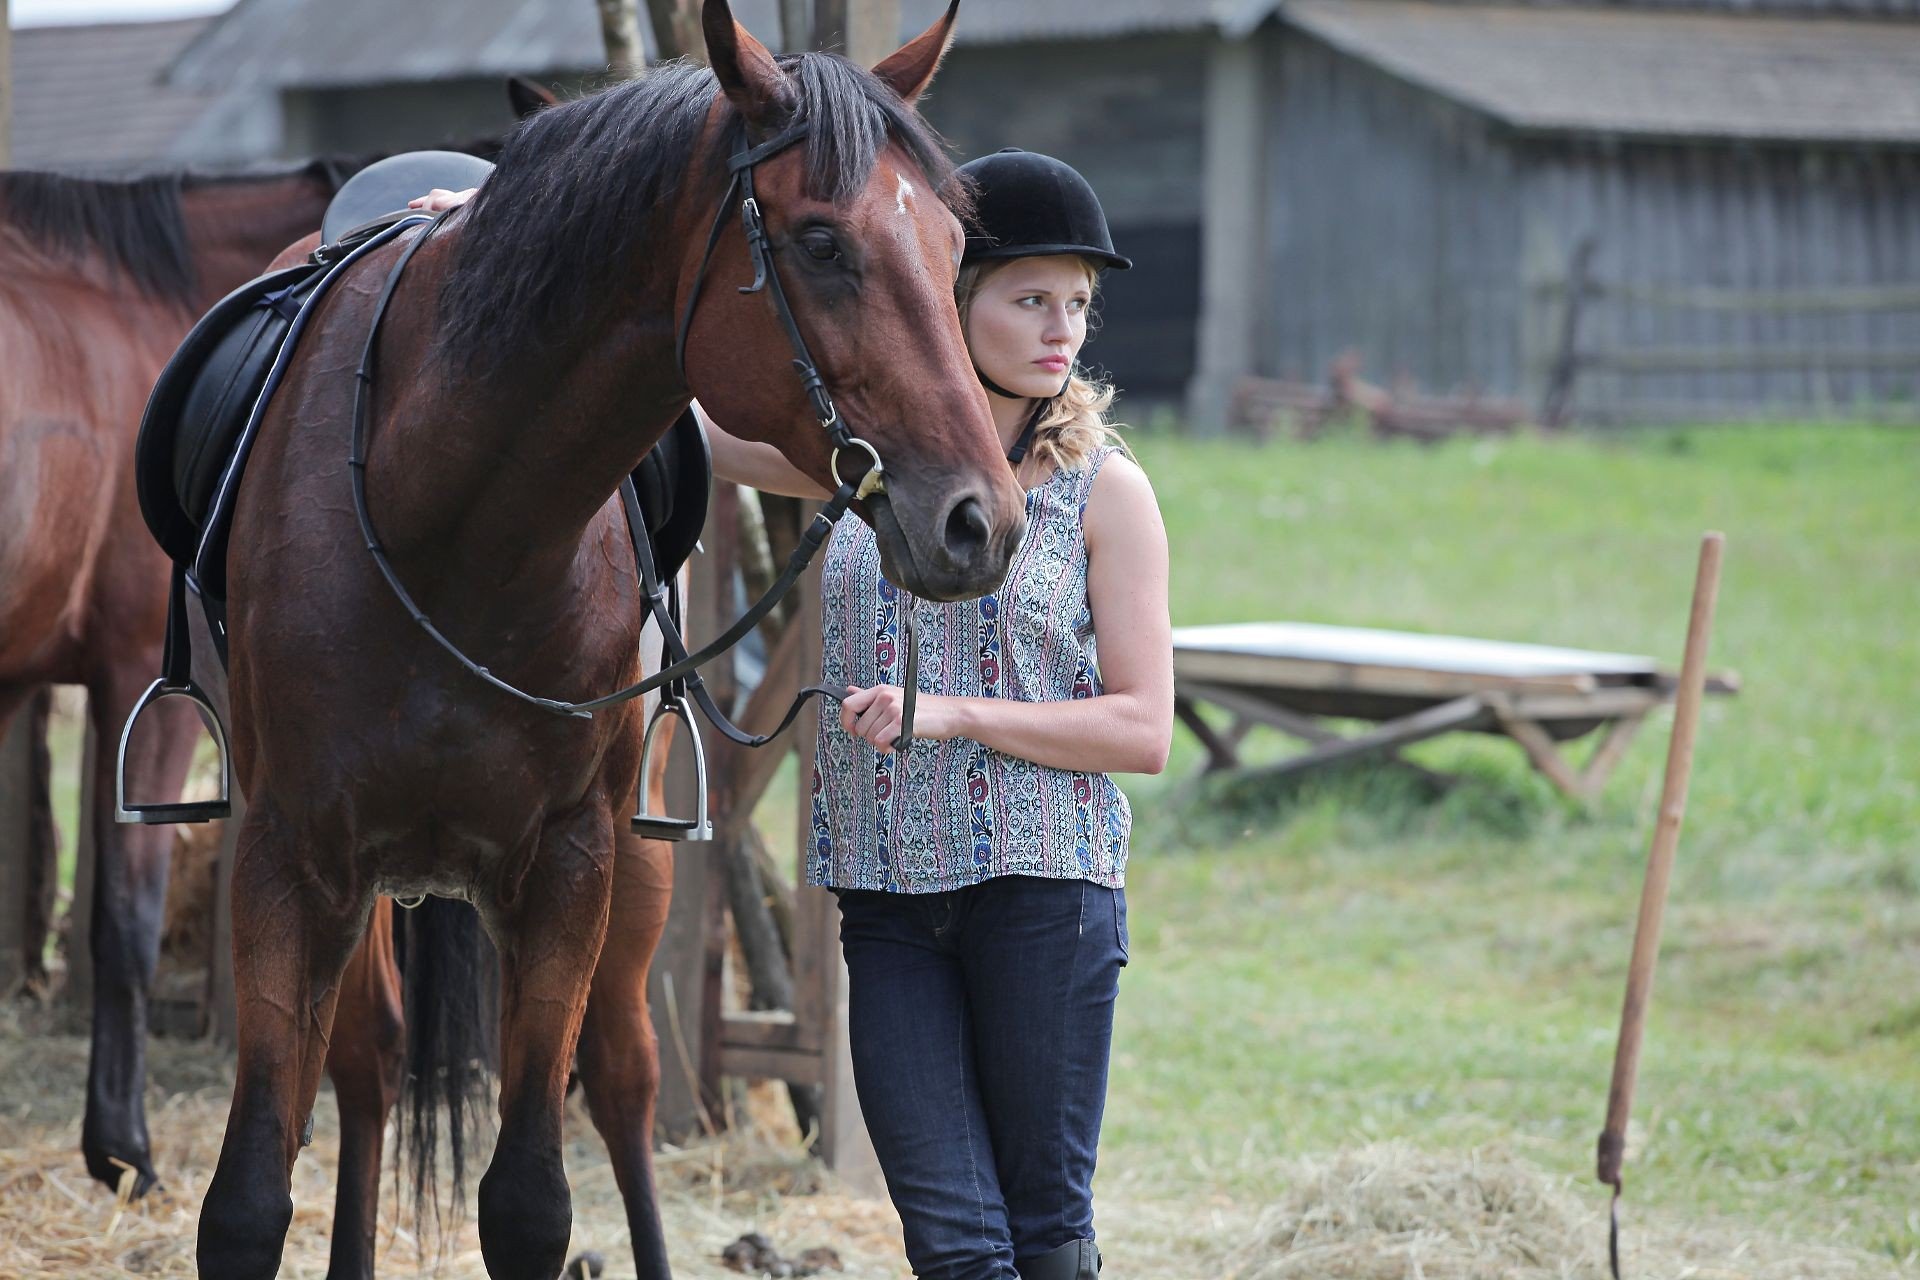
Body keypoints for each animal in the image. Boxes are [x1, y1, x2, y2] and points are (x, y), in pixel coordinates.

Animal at [202, 5, 1029, 1274]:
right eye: (821, 242)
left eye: (950, 251)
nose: (979, 520)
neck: (446, 526)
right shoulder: (286, 861)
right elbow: (249, 1193)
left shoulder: (570, 866)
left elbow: (531, 1196)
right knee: (370, 1061)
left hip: (634, 874)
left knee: (625, 1075)